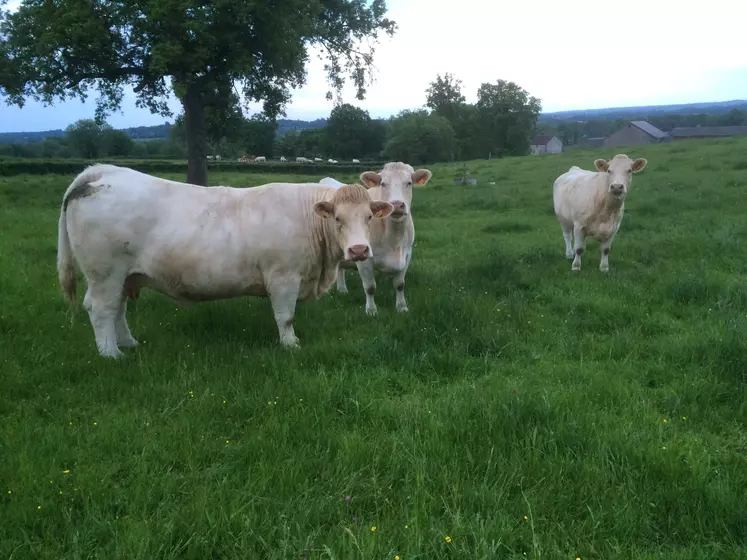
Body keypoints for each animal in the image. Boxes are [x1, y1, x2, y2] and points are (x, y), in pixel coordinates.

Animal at [57, 164, 398, 356]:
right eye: (338, 219)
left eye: (369, 217)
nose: (358, 251)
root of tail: (105, 173)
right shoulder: (283, 277)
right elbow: (285, 317)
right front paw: (291, 345)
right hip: (105, 273)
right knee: (101, 309)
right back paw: (110, 354)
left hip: (123, 275)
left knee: (118, 309)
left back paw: (128, 343)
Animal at [334, 161, 432, 316]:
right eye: (383, 184)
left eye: (409, 183)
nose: (397, 205)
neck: (394, 239)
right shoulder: (363, 257)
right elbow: (370, 287)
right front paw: (371, 310)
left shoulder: (407, 255)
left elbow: (400, 284)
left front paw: (402, 307)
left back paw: (342, 289)